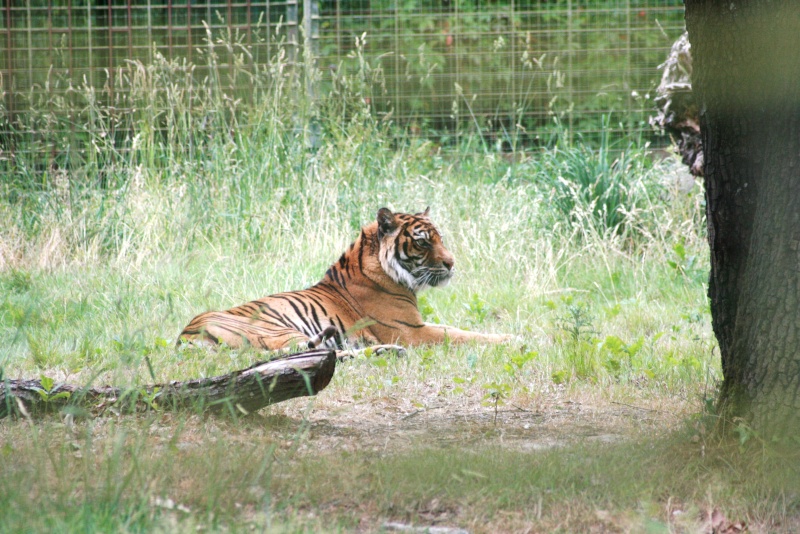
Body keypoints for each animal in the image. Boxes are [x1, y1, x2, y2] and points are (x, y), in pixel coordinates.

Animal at [178, 208, 510, 352]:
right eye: (423, 242)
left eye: (440, 238)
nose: (452, 264)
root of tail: (186, 334)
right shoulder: (411, 331)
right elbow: (464, 334)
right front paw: (514, 340)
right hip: (277, 331)